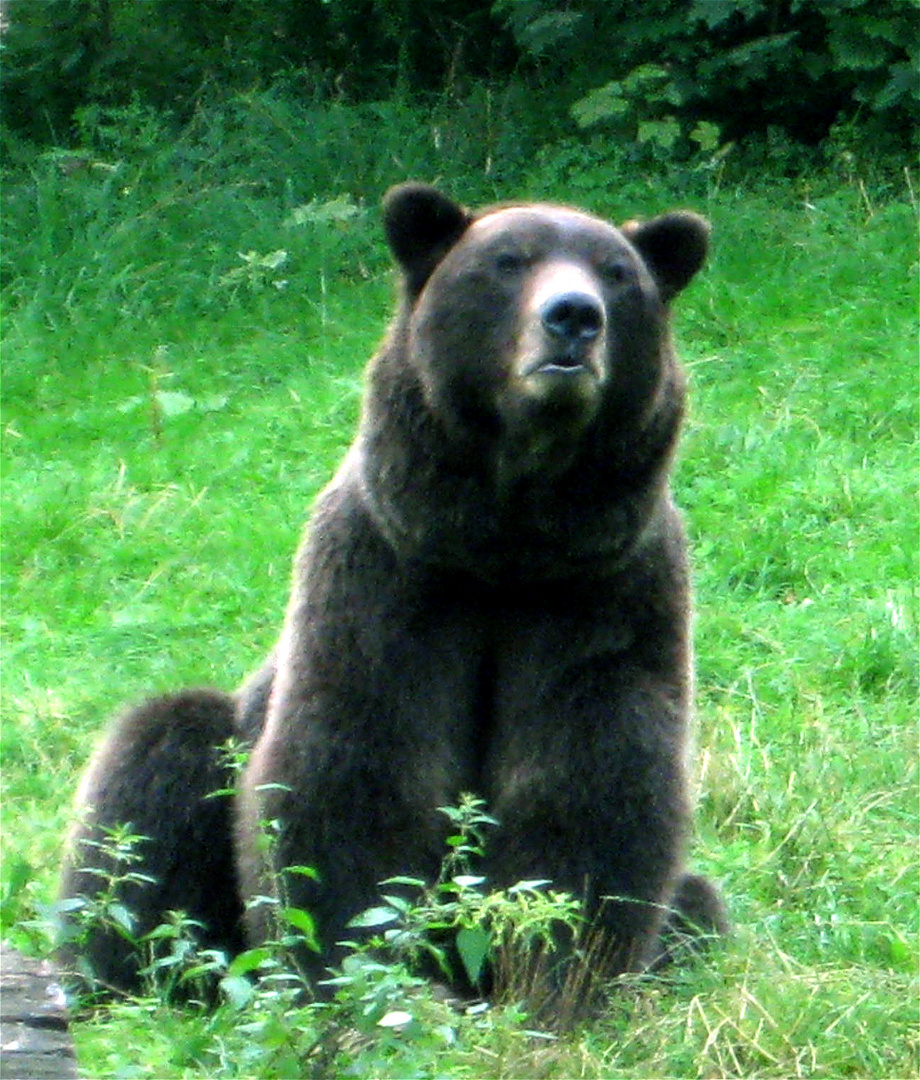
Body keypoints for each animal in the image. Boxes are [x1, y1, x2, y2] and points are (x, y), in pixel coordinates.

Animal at [61, 179, 729, 1010]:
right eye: (508, 261)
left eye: (617, 273)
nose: (574, 317)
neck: (505, 543)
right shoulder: (387, 580)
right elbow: (354, 775)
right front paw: (364, 985)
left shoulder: (605, 592)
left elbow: (591, 782)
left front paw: (555, 983)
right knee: (151, 782)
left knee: (699, 906)